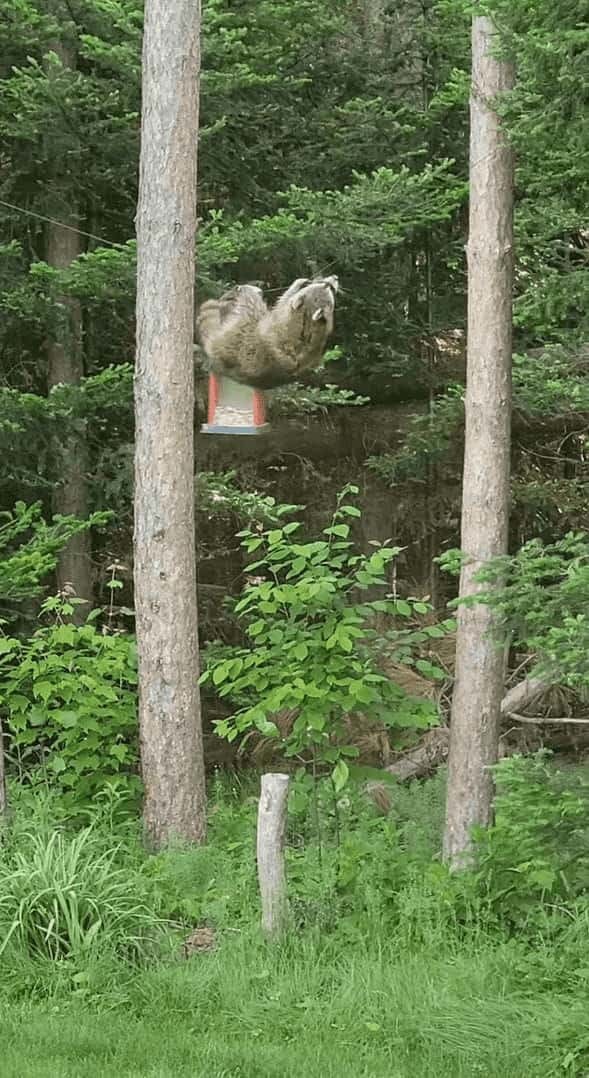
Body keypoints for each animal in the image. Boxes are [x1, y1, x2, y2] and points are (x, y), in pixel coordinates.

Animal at [195, 275, 336, 390]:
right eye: (327, 287)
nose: (334, 278)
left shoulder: (271, 328)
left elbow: (272, 307)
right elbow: (281, 303)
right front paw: (299, 283)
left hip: (233, 338)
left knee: (248, 307)